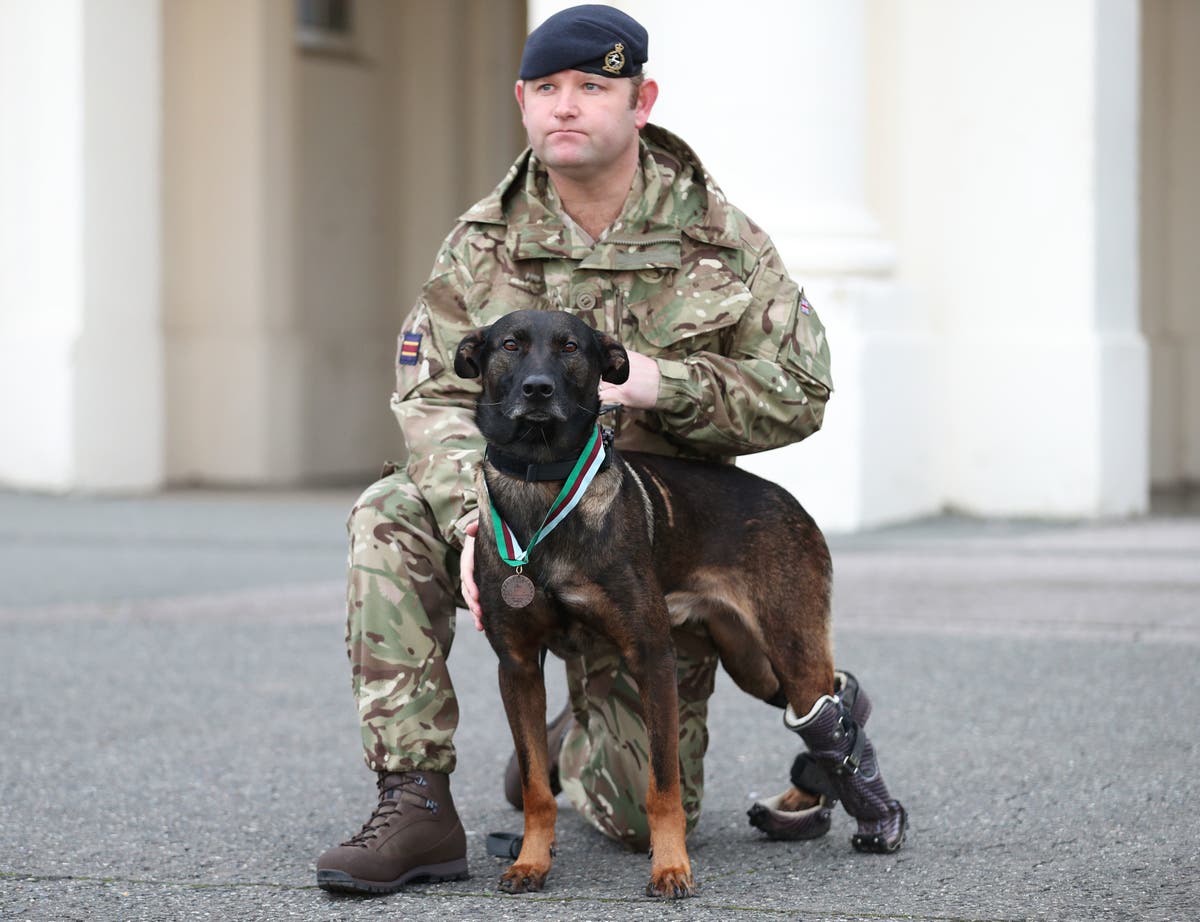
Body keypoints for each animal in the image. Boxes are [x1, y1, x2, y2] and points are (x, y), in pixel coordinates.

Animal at [453, 309, 840, 902]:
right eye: (511, 345)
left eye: (570, 347)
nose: (538, 390)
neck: (545, 481)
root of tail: (789, 500)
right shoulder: (517, 668)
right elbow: (537, 786)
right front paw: (531, 861)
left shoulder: (653, 659)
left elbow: (663, 786)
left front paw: (671, 867)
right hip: (751, 661)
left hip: (788, 649)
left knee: (829, 697)